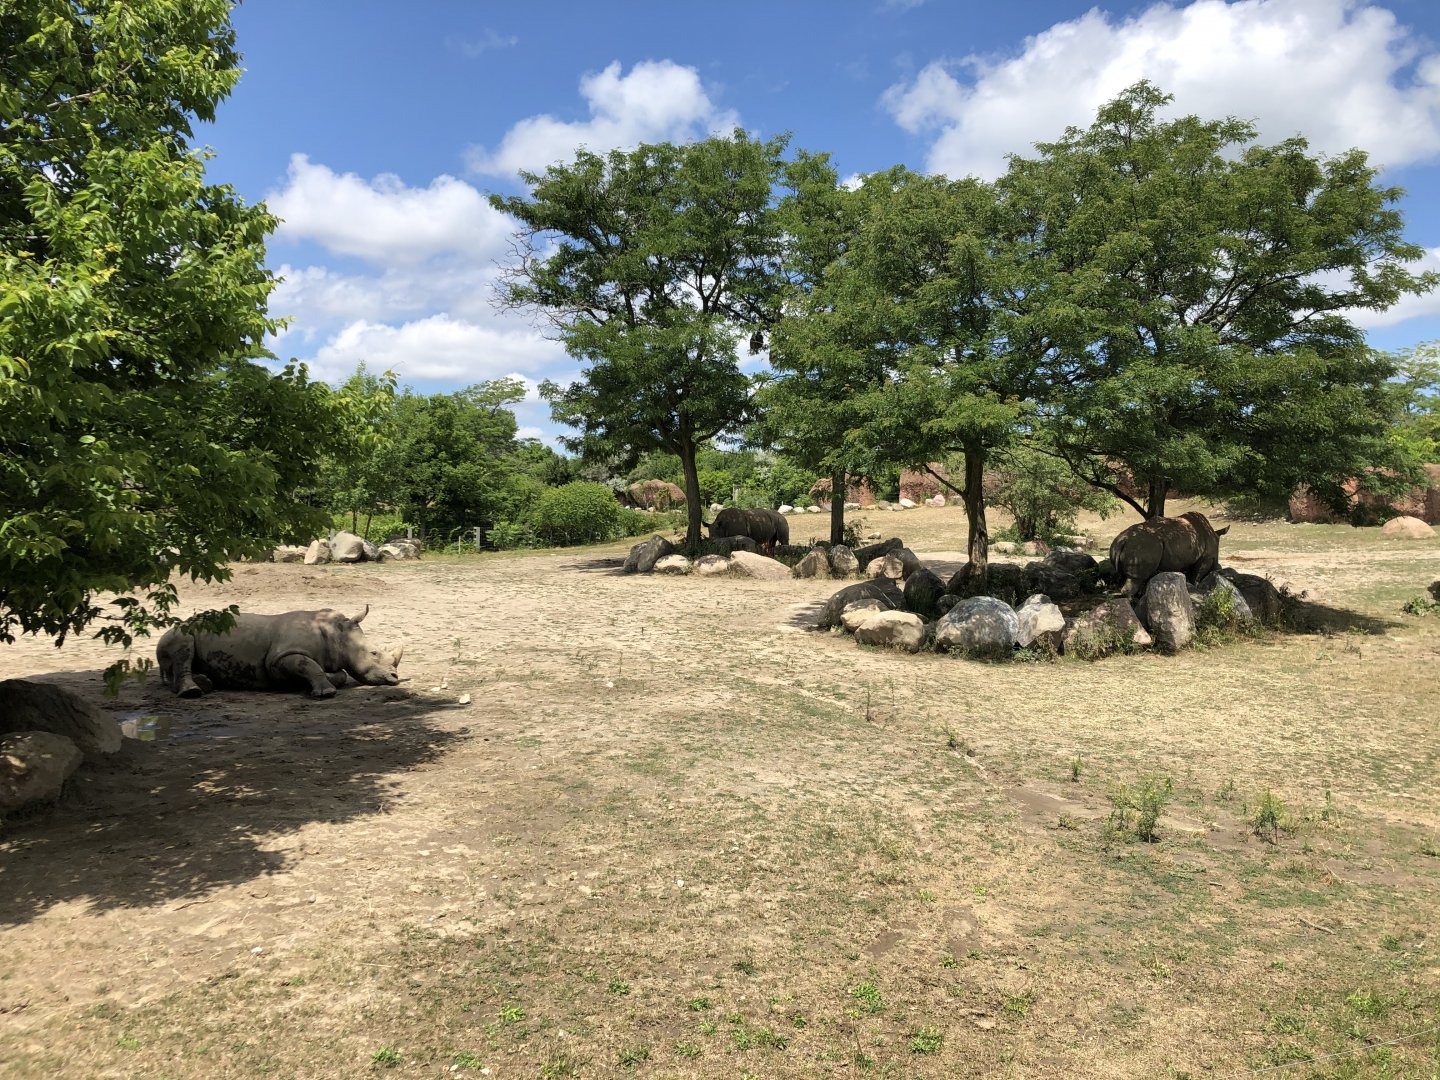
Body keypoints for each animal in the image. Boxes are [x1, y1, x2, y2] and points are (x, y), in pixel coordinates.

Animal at [156, 605, 403, 699]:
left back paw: (206, 683)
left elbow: (339, 673)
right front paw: (325, 693)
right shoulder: (280, 657)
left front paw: (302, 685)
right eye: (374, 653)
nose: (395, 677)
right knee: (183, 649)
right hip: (181, 631)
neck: (336, 633)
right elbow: (310, 666)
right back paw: (192, 692)